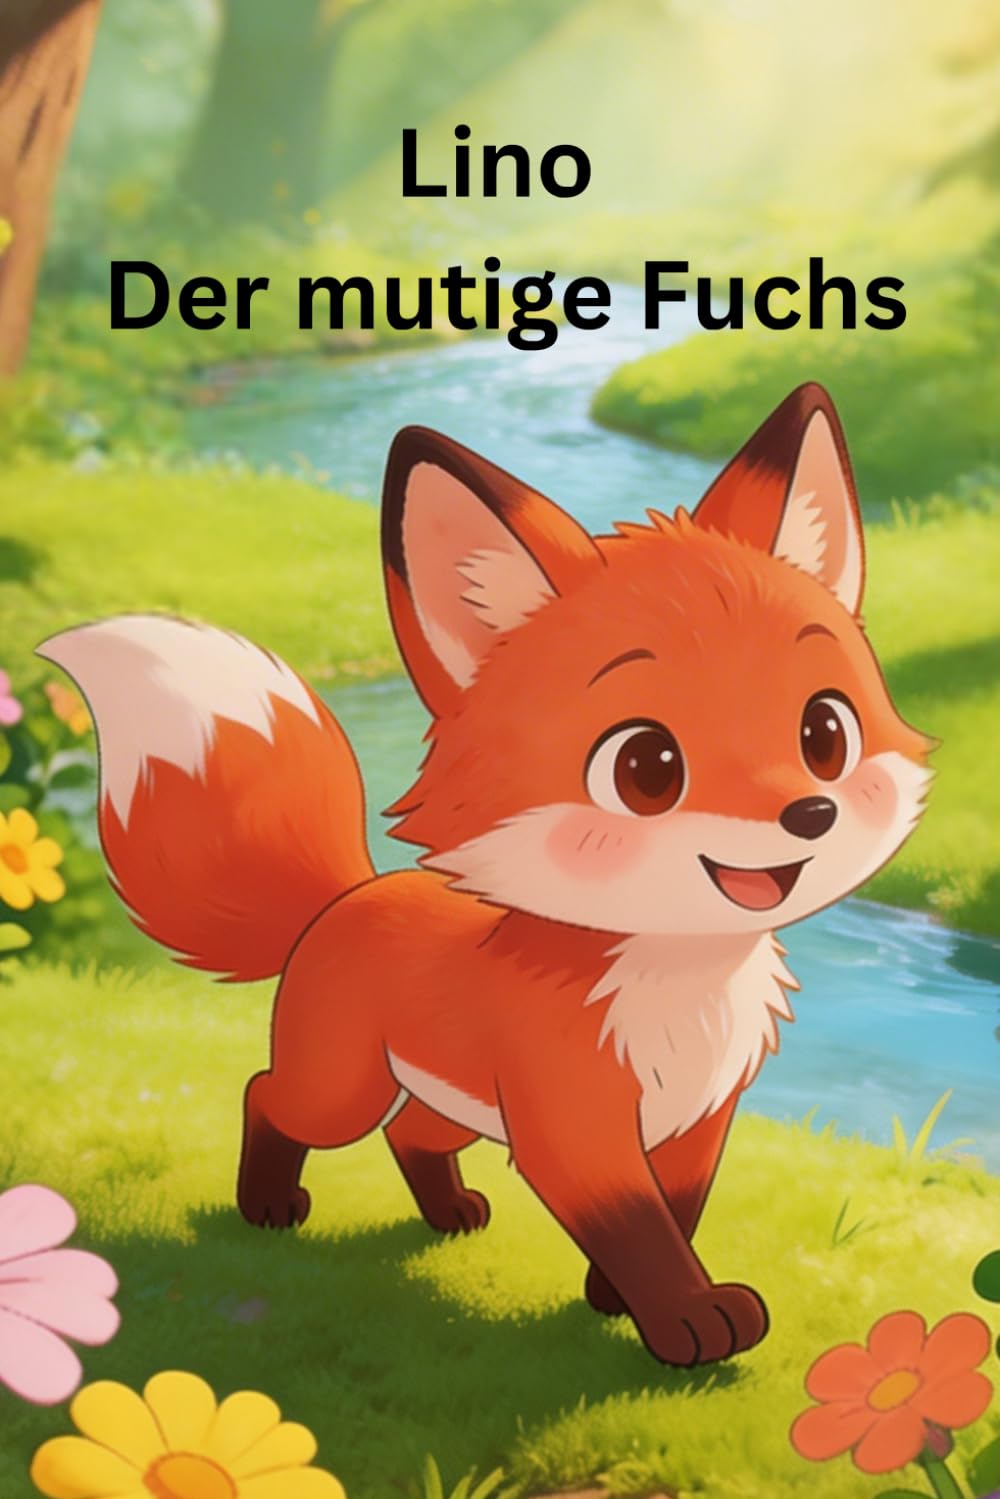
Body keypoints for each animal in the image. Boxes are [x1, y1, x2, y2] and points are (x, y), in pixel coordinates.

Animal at [39, 383, 931, 1367]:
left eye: (825, 733)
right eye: (647, 767)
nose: (809, 815)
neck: (675, 985)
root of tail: (348, 896)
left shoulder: (700, 1116)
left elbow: (678, 1210)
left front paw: (612, 1298)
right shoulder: (573, 1125)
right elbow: (641, 1227)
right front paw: (687, 1319)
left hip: (453, 1098)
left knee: (411, 1132)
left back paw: (448, 1211)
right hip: (340, 1088)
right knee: (269, 1095)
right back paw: (268, 1204)